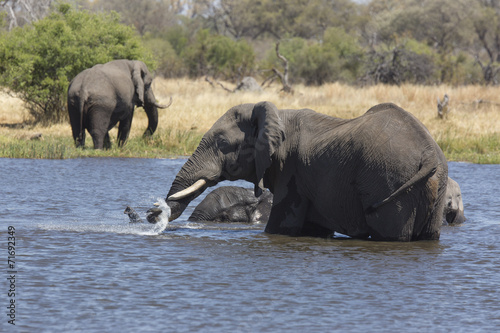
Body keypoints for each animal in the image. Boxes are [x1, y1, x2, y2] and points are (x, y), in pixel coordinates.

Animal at [146, 100, 448, 240]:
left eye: (222, 144)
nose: (152, 212)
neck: (276, 115)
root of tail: (429, 153)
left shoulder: (291, 171)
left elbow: (280, 227)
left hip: (389, 180)